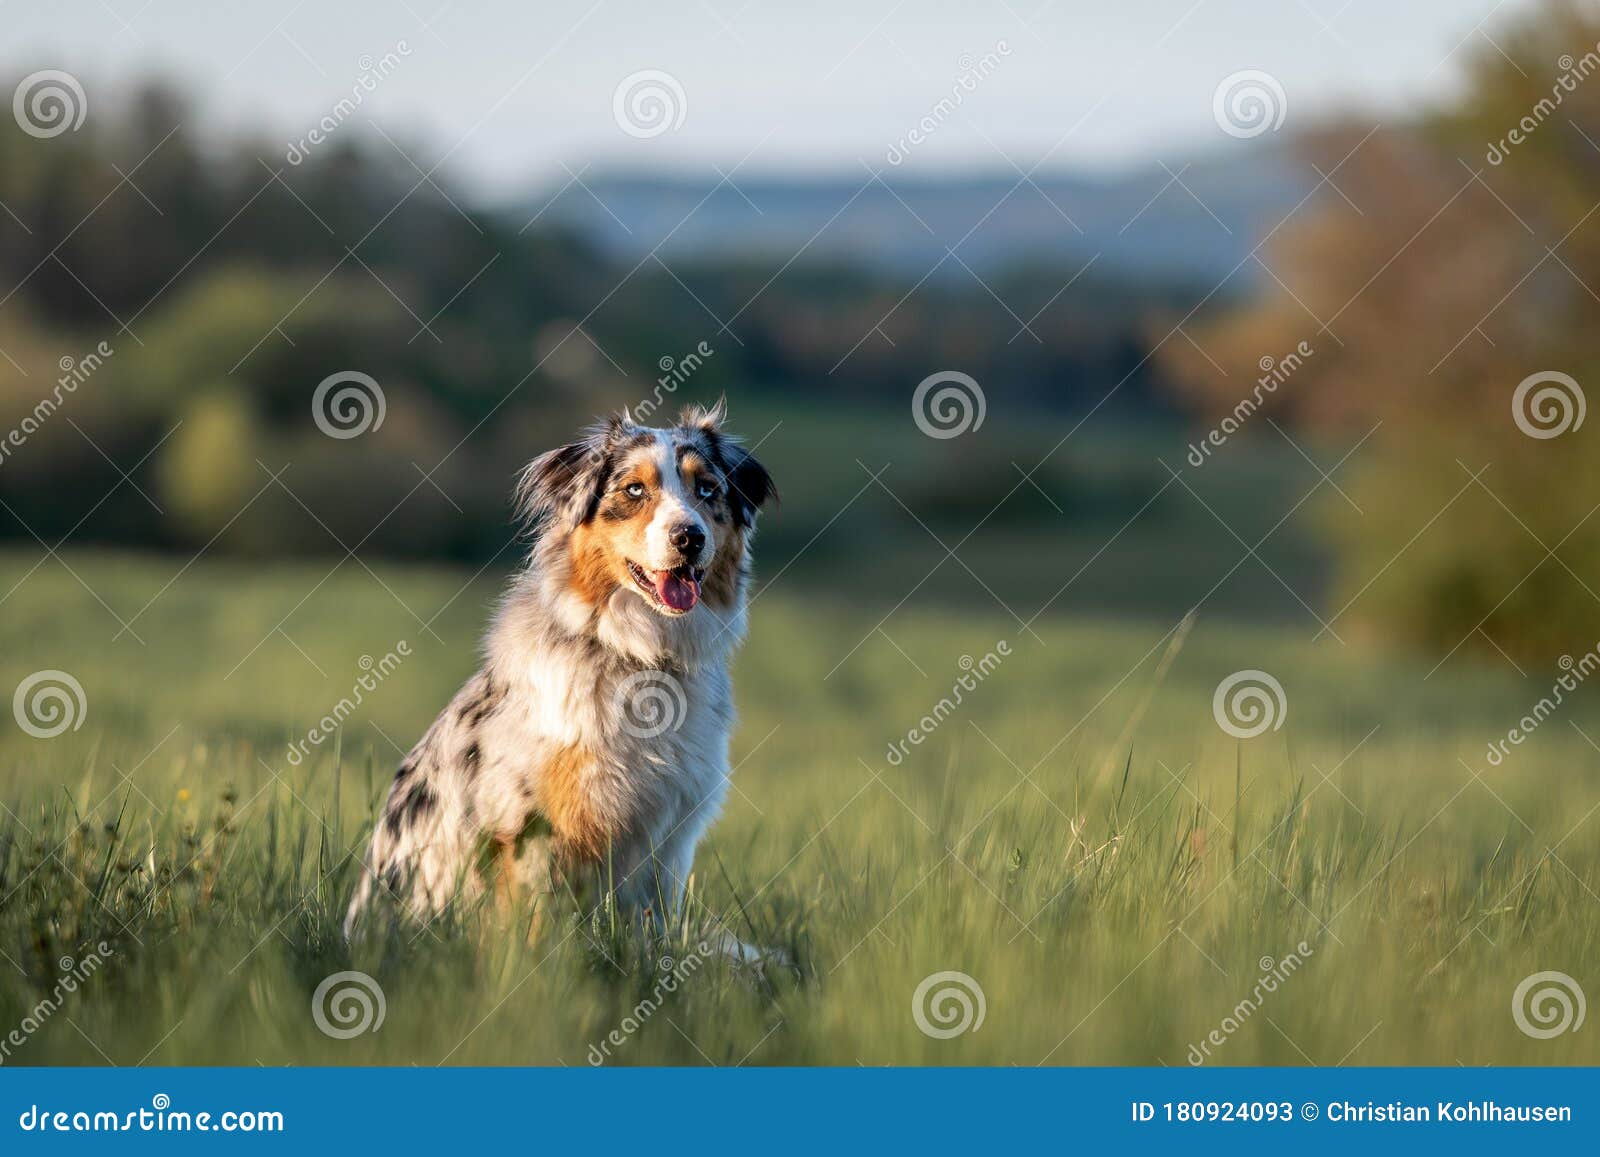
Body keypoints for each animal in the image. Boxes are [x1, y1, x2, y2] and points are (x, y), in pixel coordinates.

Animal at [344, 403, 774, 953]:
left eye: (707, 489)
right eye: (634, 490)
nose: (689, 537)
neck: (641, 653)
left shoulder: (670, 836)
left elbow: (651, 926)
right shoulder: (530, 831)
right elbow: (533, 932)